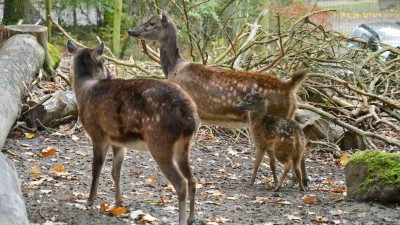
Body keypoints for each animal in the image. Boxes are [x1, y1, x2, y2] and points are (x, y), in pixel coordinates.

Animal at [67, 39, 202, 224]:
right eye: (103, 61)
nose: (108, 75)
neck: (84, 91)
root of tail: (190, 118)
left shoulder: (98, 133)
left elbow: (96, 168)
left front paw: (89, 201)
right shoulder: (117, 140)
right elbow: (115, 171)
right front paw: (119, 202)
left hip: (159, 142)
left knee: (181, 182)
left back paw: (181, 220)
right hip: (184, 146)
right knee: (192, 179)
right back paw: (191, 218)